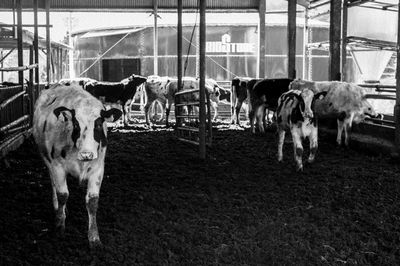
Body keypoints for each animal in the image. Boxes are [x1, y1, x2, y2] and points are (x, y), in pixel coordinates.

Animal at [33, 84, 122, 248]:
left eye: (98, 124)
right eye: (75, 124)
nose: (87, 154)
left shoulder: (98, 169)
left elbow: (92, 201)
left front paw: (94, 238)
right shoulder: (57, 166)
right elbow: (63, 195)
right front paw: (59, 225)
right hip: (46, 159)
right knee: (54, 184)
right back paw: (57, 208)